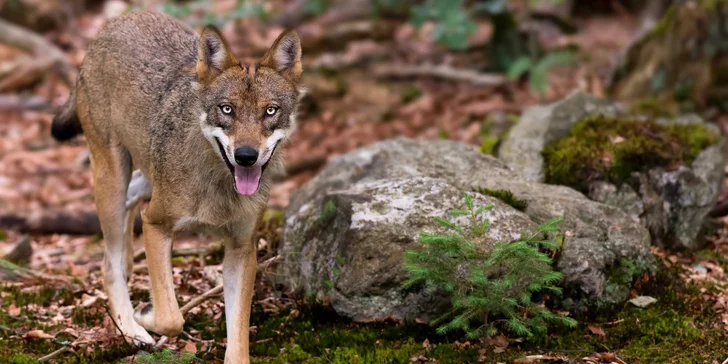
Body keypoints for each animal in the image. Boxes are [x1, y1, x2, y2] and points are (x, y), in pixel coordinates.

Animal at [51, 11, 302, 364]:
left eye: (270, 111)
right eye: (227, 109)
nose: (246, 156)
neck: (218, 186)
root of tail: (117, 21)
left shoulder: (241, 248)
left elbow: (238, 340)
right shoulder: (156, 225)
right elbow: (171, 318)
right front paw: (145, 315)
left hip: (142, 181)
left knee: (130, 212)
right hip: (112, 179)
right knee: (108, 265)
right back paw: (132, 329)